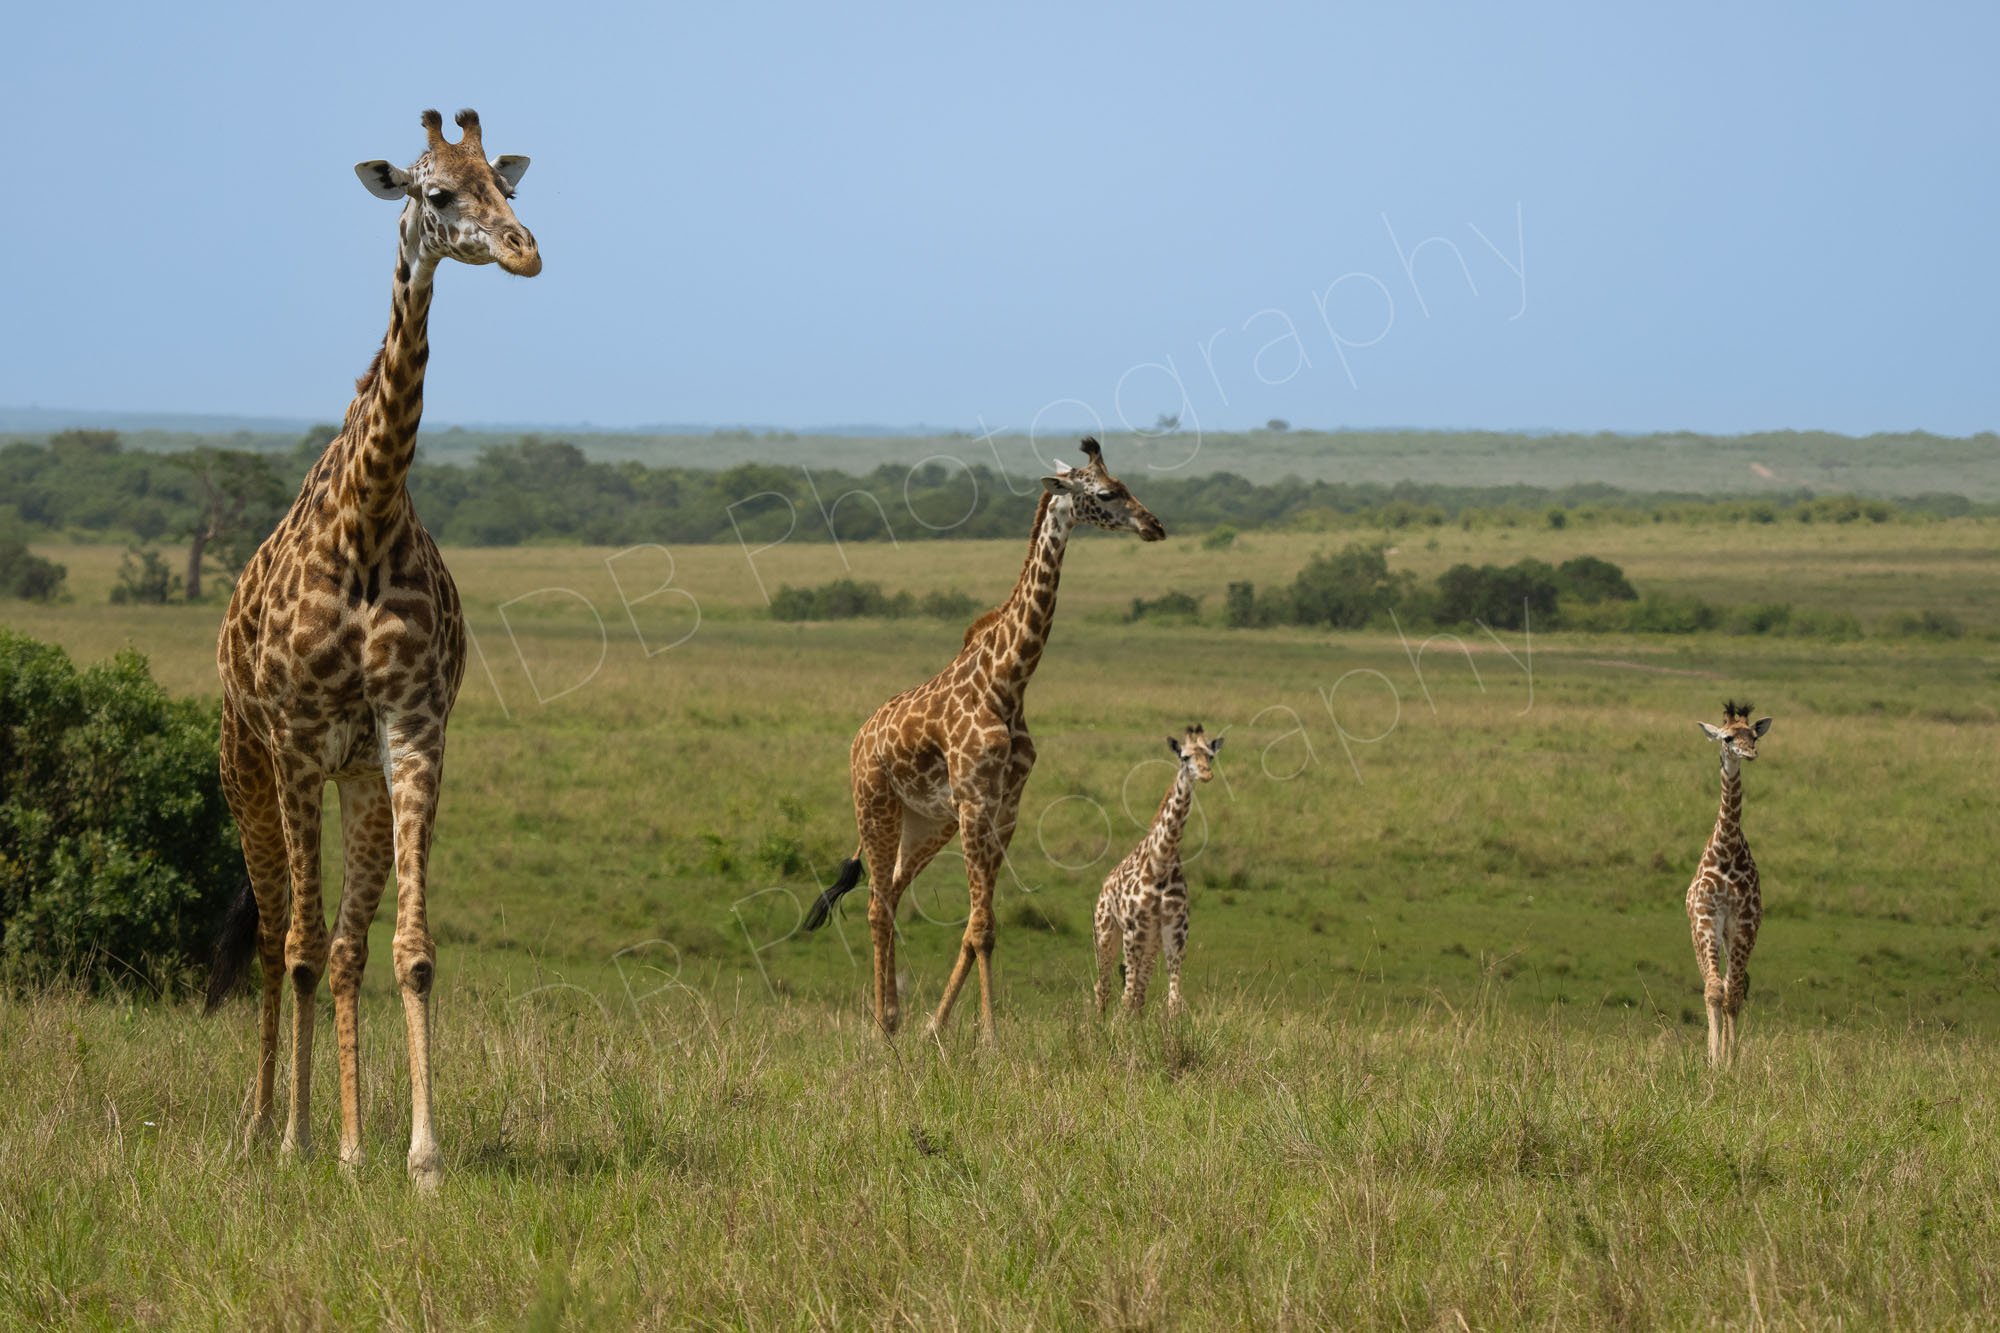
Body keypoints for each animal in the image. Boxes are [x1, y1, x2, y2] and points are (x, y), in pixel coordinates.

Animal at [203, 109, 539, 1185]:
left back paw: (351, 1143)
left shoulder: (413, 729)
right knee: (279, 935)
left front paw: (416, 1155)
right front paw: (299, 1137)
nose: (524, 249)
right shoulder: (299, 738)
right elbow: (301, 947)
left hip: (357, 778)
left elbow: (408, 950)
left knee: (346, 945)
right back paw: (263, 1123)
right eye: (436, 192)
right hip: (249, 764)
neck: (368, 510)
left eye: (506, 181)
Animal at [802, 438, 1166, 1039]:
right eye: (1108, 492)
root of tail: (860, 738)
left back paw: (898, 1018)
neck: (1008, 681)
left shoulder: (1004, 808)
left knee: (893, 892)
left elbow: (979, 926)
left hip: (928, 821)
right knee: (877, 903)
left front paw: (939, 1026)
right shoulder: (975, 802)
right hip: (875, 803)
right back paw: (881, 1024)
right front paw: (990, 1037)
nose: (1154, 525)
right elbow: (982, 929)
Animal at [1095, 724, 1221, 1018]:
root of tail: (1104, 884)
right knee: (1103, 986)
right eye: (1185, 757)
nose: (1206, 774)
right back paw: (1098, 1024)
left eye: (1210, 756)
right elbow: (1127, 995)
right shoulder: (1132, 929)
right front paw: (1120, 1029)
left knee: (1139, 989)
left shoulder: (1176, 930)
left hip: (1151, 940)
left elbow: (1172, 999)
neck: (1161, 860)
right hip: (1106, 932)